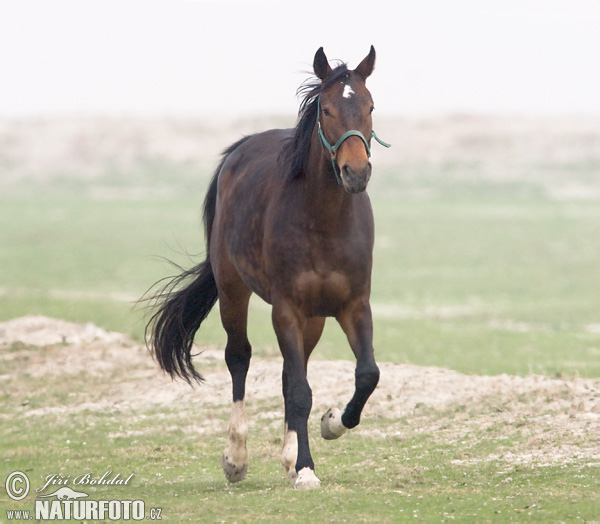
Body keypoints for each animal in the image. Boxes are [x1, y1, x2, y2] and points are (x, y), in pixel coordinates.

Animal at [145, 46, 390, 492]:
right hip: (233, 290)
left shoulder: (353, 306)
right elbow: (299, 391)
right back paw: (236, 458)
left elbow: (365, 375)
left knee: (291, 373)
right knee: (239, 358)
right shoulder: (286, 309)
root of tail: (239, 151)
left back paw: (289, 456)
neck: (323, 222)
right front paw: (306, 469)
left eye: (370, 106)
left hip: (314, 319)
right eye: (326, 109)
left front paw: (330, 424)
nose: (355, 172)